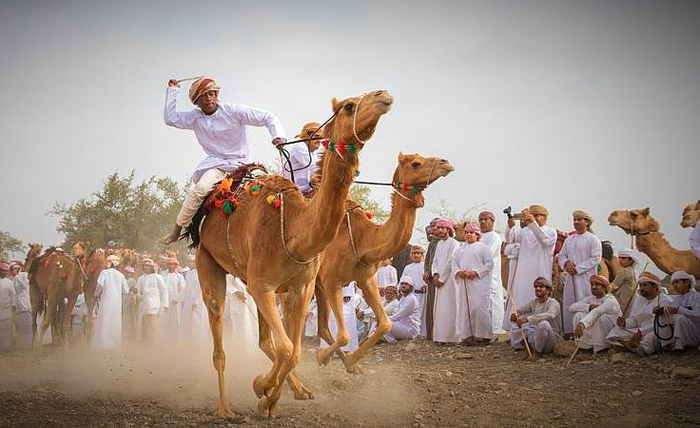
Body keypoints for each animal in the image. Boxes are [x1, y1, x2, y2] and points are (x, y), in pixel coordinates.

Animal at [189, 90, 396, 418]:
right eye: (349, 106)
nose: (383, 95)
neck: (293, 230)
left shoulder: (301, 287)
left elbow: (294, 350)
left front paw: (270, 399)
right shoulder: (267, 284)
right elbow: (287, 348)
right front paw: (261, 388)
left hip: (253, 283)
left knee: (268, 341)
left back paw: (298, 389)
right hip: (208, 261)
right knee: (220, 339)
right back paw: (225, 408)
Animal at [314, 152, 456, 372]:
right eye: (416, 163)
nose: (445, 163)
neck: (362, 239)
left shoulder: (365, 279)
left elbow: (385, 324)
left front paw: (351, 362)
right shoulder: (331, 281)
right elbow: (344, 335)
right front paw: (325, 356)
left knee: (321, 327)